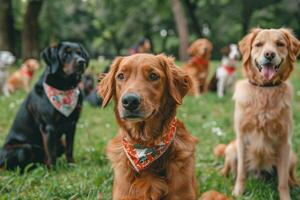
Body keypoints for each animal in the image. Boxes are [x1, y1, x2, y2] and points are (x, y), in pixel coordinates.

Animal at [0, 41, 89, 170]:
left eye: (80, 53)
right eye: (65, 54)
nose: (81, 61)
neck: (65, 87)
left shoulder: (72, 124)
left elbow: (69, 148)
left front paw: (72, 165)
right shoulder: (48, 126)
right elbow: (51, 152)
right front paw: (53, 171)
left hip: (59, 142)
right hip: (23, 148)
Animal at [224, 28, 298, 200]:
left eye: (280, 44)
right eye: (258, 44)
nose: (269, 54)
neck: (265, 89)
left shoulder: (284, 141)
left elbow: (283, 180)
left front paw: (286, 196)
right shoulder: (242, 138)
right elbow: (241, 172)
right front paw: (238, 192)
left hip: (292, 155)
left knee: (289, 176)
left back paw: (294, 184)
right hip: (231, 149)